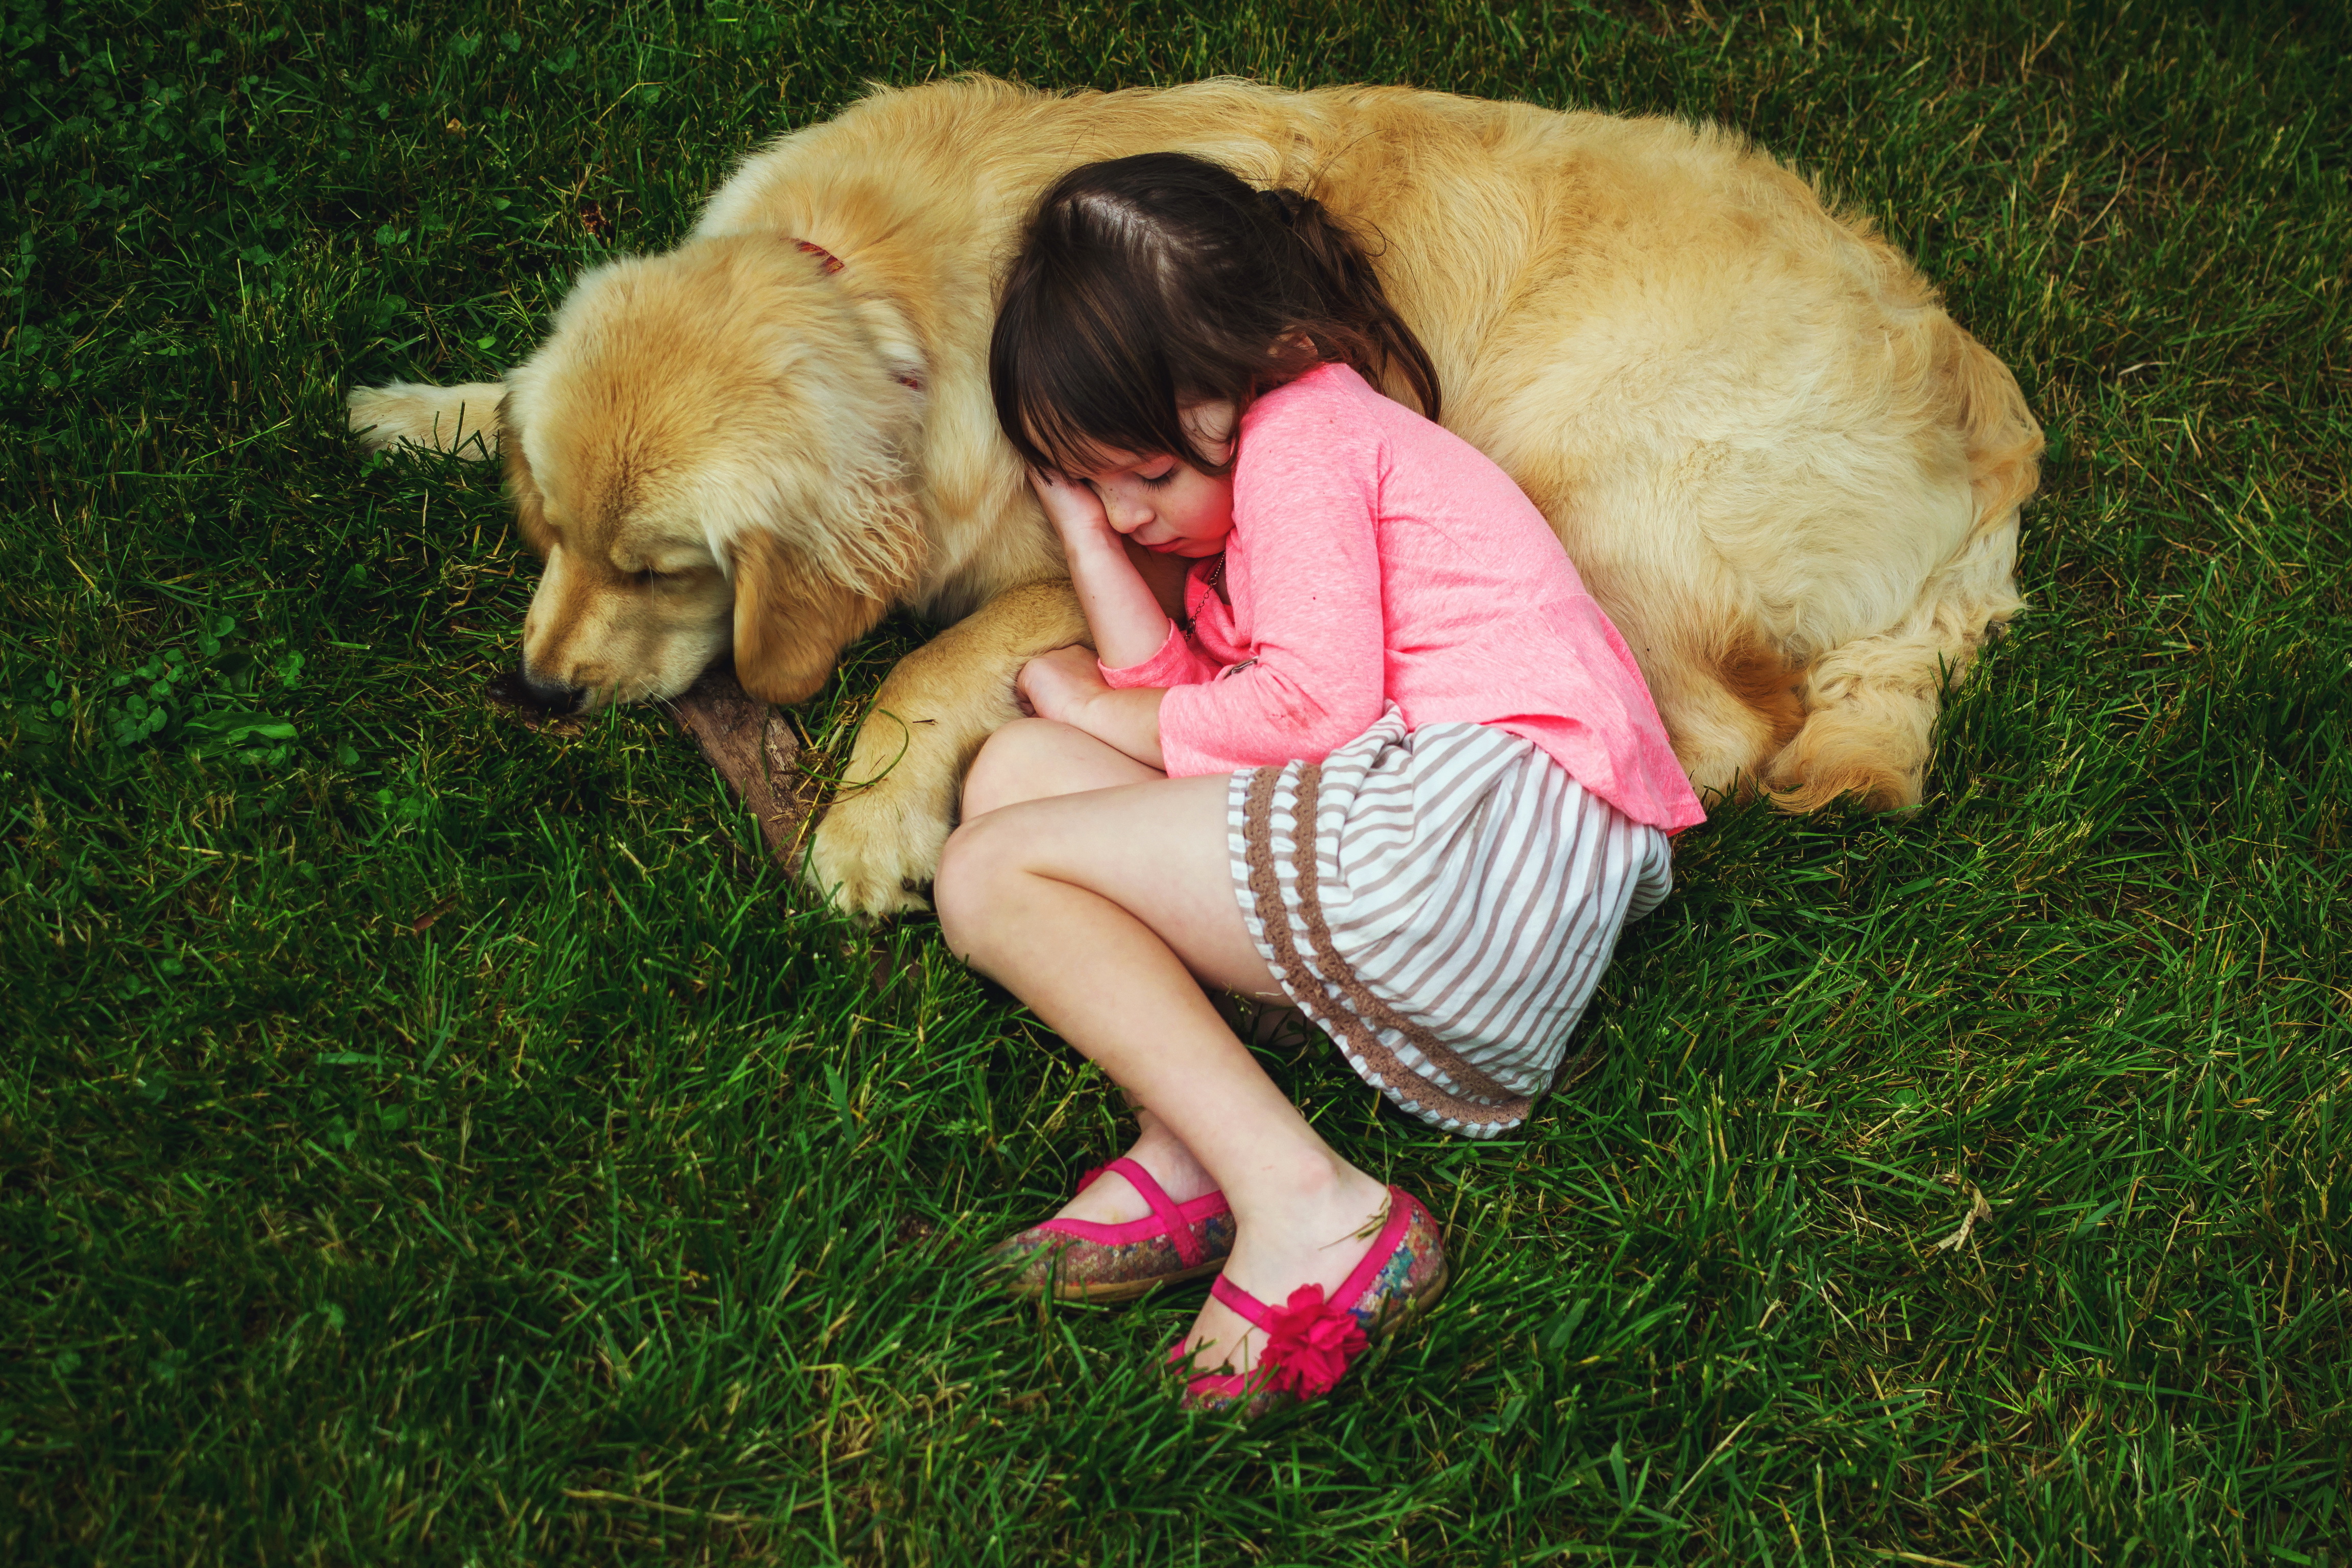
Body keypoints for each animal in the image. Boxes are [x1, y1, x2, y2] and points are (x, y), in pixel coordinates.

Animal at [343, 80, 2041, 921]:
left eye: (665, 568)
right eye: (551, 539)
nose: (536, 692)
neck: (875, 277)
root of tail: (1986, 404)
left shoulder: (1145, 547)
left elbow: (933, 651)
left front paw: (870, 818)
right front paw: (419, 408)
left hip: (1577, 470)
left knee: (1718, 730)